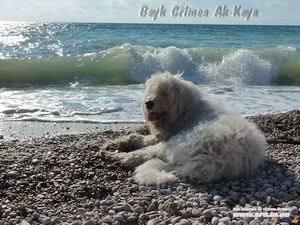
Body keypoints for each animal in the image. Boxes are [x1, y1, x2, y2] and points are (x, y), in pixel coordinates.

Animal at [102, 72, 266, 185]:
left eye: (165, 92)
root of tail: (217, 160)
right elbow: (136, 134)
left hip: (179, 141)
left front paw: (117, 144)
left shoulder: (165, 136)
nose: (148, 103)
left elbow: (140, 139)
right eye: (152, 90)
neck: (186, 111)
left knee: (146, 153)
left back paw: (118, 156)